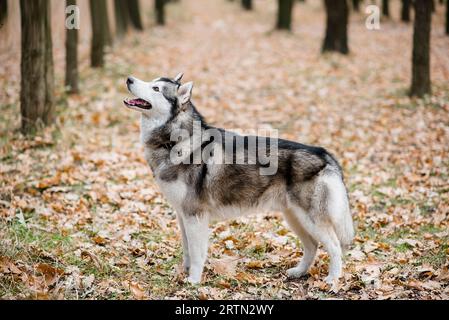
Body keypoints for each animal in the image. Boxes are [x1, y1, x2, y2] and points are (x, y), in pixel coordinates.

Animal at [123, 74, 354, 286]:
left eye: (156, 88)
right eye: (152, 81)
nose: (129, 79)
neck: (176, 141)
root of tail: (324, 153)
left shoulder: (195, 216)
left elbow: (197, 253)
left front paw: (194, 280)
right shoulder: (183, 215)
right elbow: (187, 249)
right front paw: (183, 272)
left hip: (311, 219)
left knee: (334, 246)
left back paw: (333, 279)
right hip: (294, 217)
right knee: (312, 246)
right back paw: (299, 272)